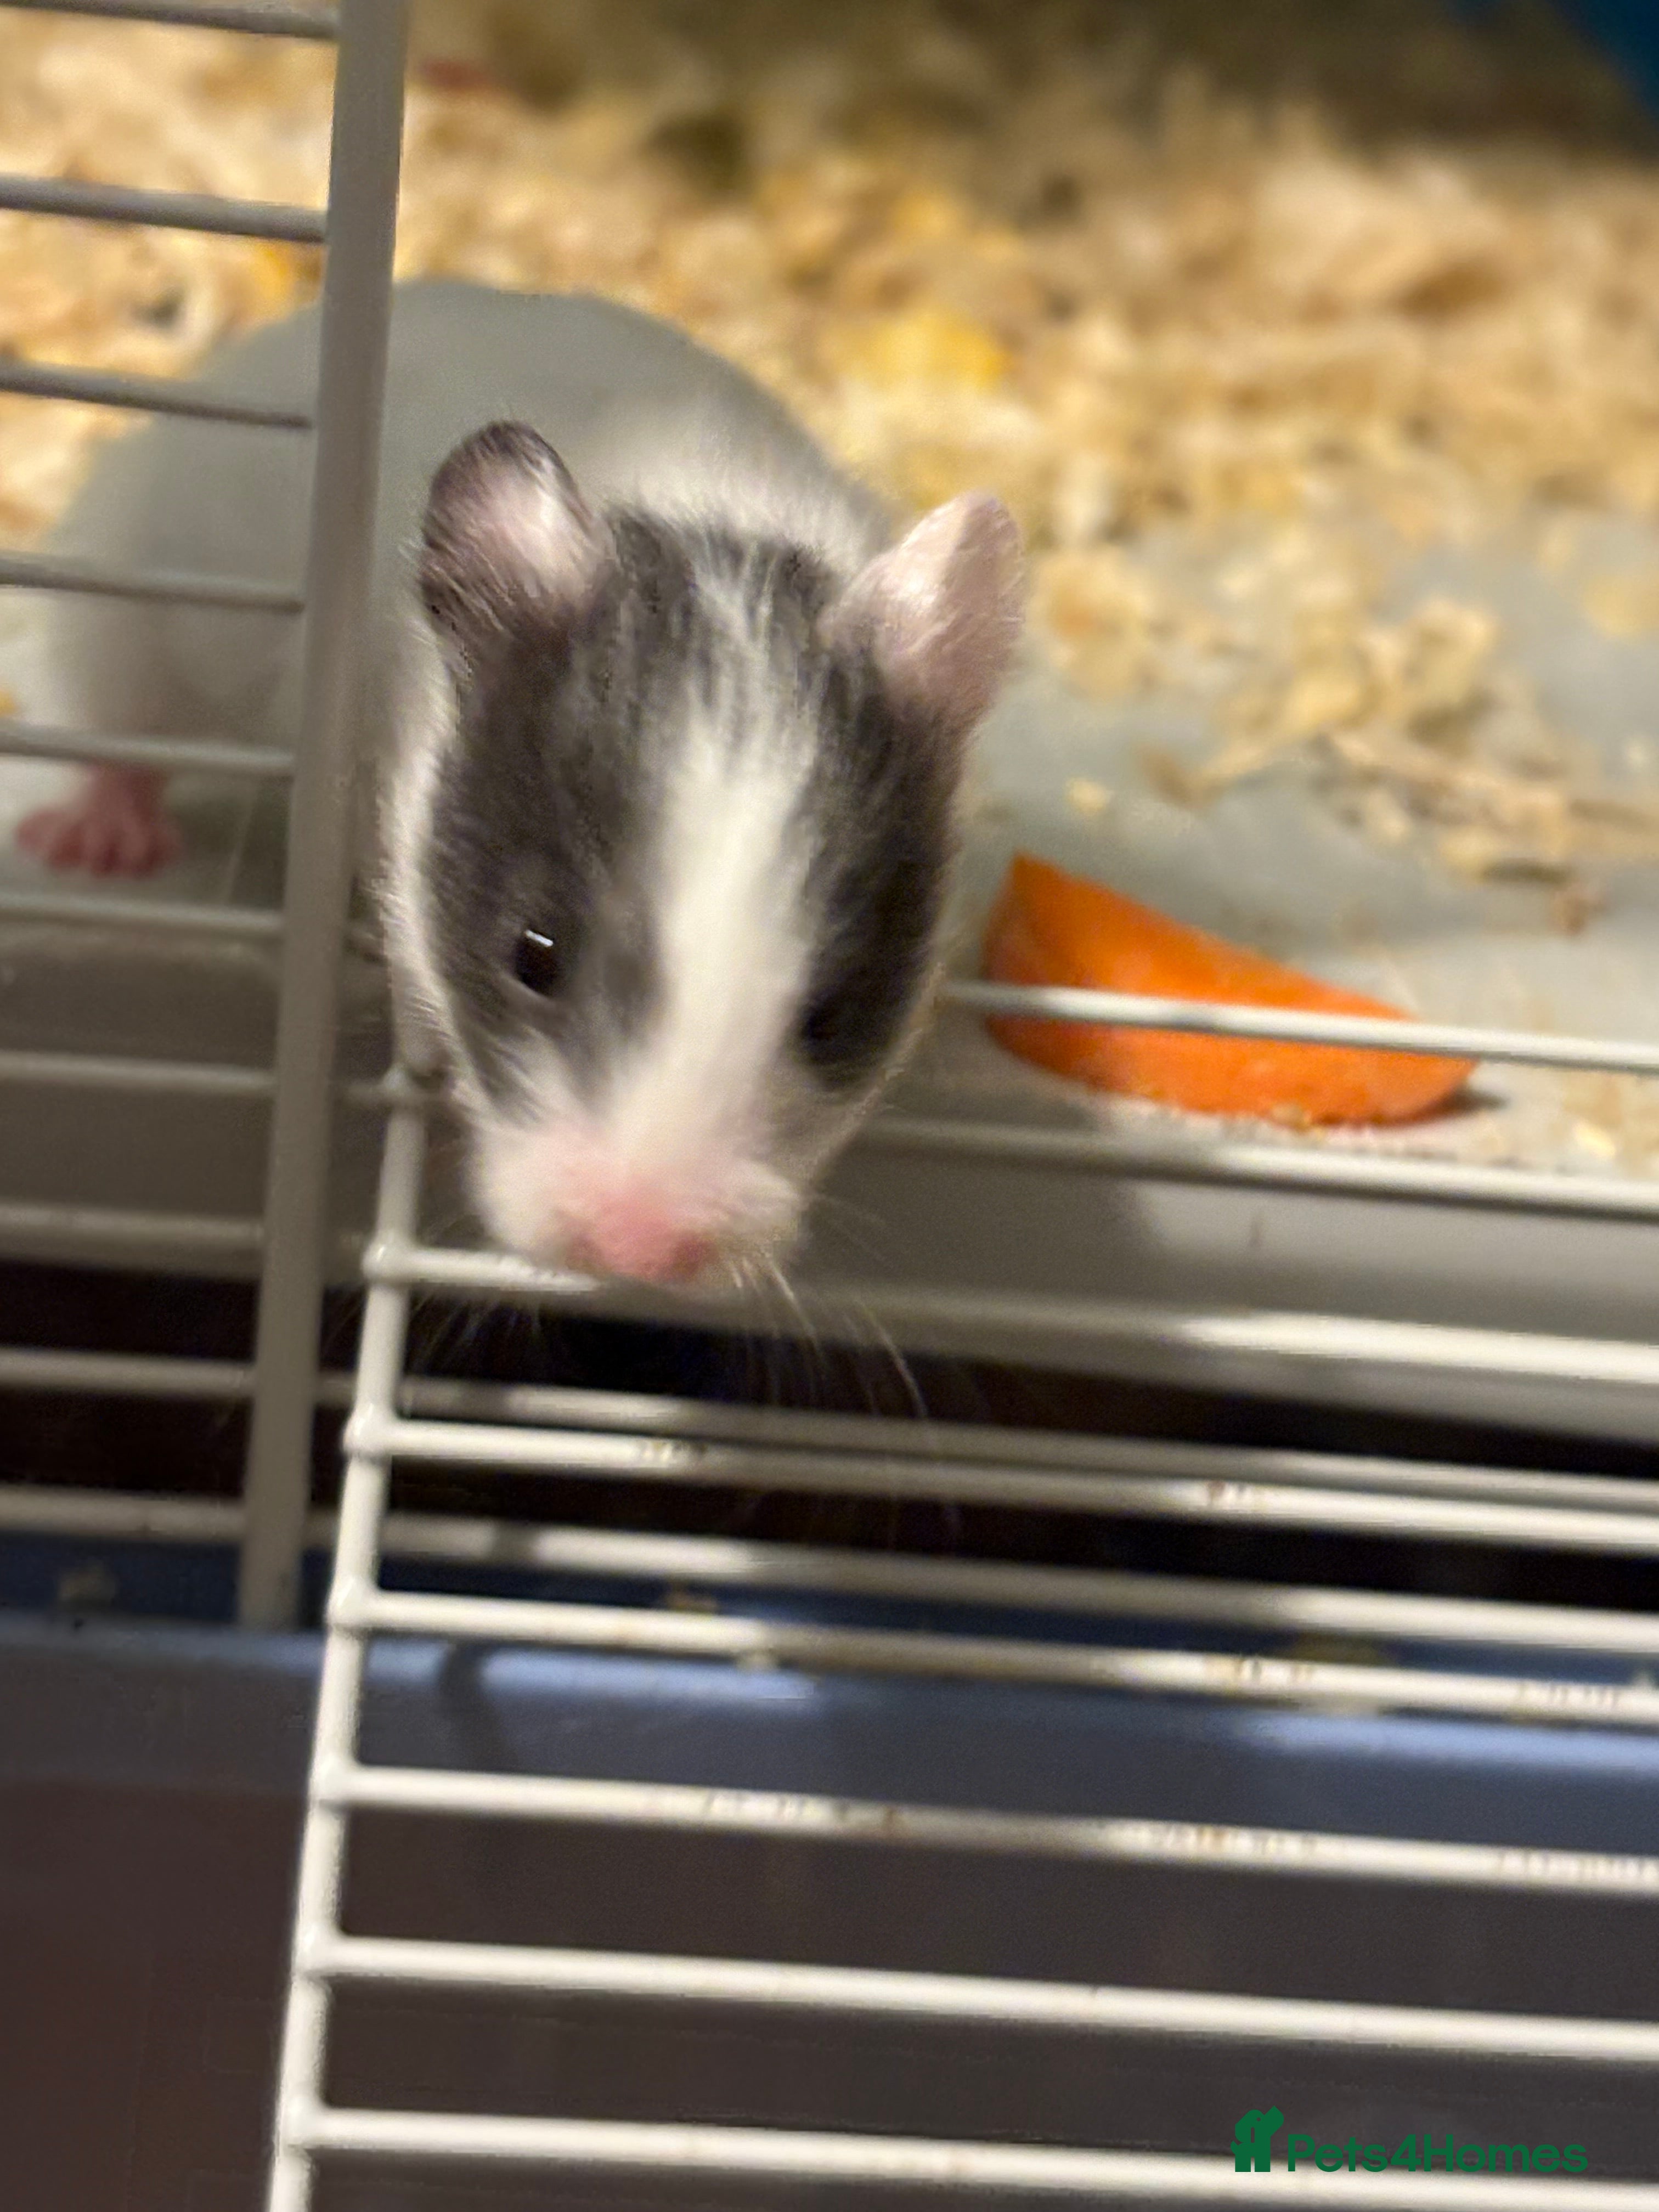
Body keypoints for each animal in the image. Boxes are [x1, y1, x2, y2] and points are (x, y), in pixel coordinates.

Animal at [27, 282, 1023, 1286]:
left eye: (833, 1015)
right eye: (532, 954)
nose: (636, 1255)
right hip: (135, 581)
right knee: (115, 717)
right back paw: (95, 843)